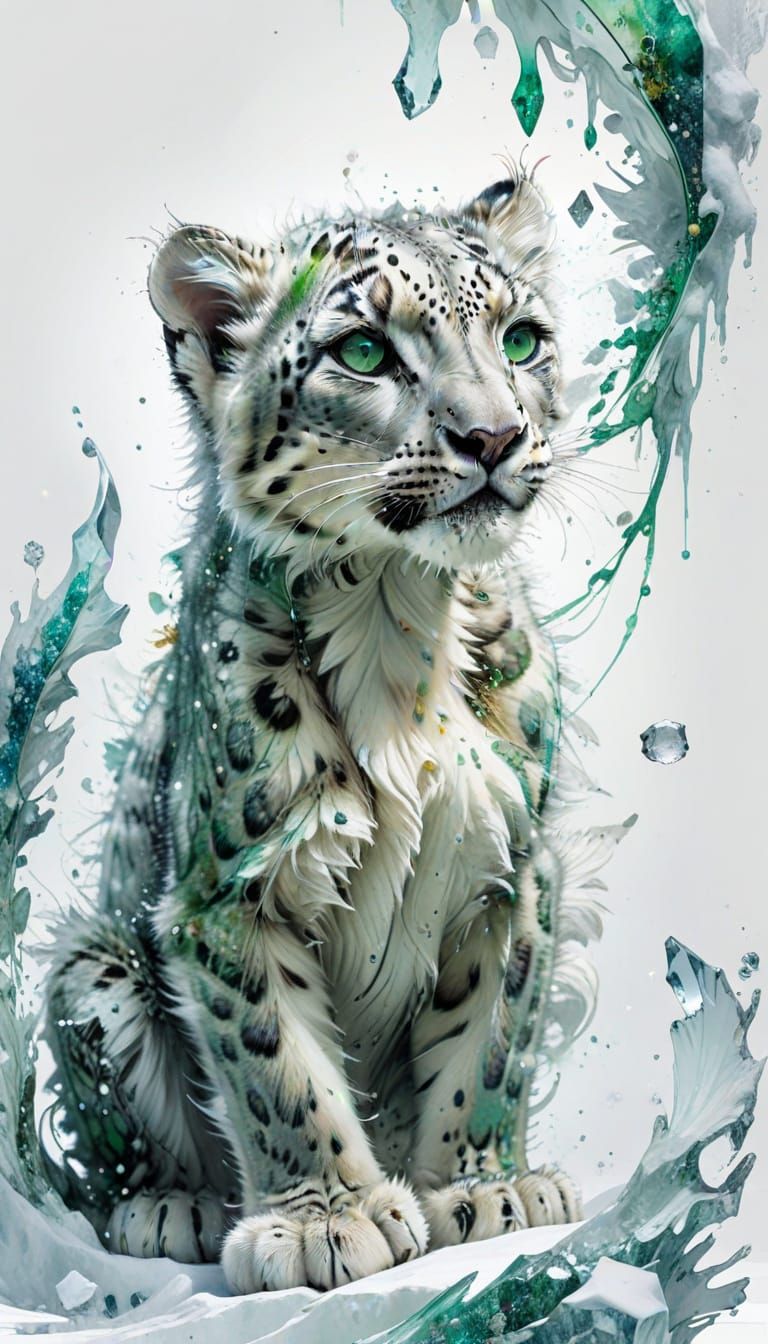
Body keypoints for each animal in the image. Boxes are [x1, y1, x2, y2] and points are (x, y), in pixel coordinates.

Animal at [44, 169, 600, 1294]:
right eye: (365, 351)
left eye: (521, 338)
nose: (494, 439)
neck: (398, 624)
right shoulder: (229, 891)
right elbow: (276, 1062)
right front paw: (325, 1223)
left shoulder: (518, 868)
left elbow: (493, 1039)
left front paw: (487, 1191)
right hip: (95, 966)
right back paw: (173, 1208)